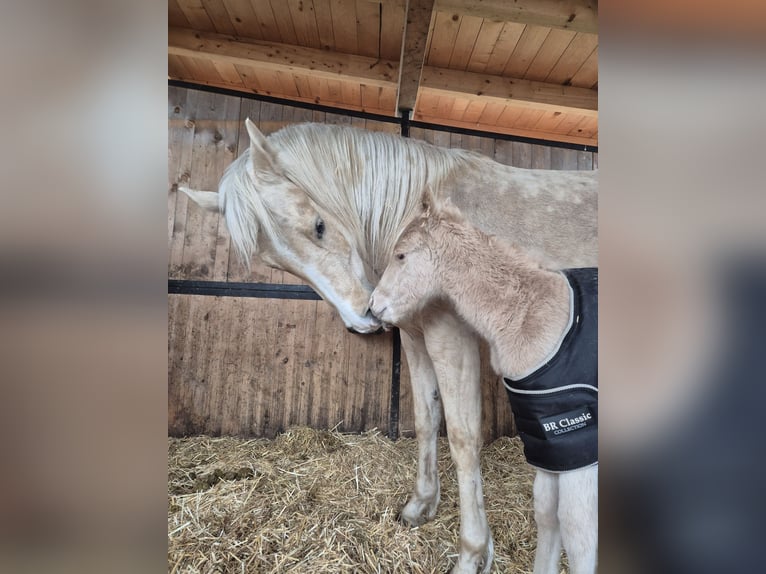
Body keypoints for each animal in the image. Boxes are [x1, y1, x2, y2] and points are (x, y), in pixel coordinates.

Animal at [372, 199, 600, 574]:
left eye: (401, 255)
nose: (374, 305)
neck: (534, 314)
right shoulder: (549, 446)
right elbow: (547, 513)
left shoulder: (579, 447)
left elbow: (578, 530)